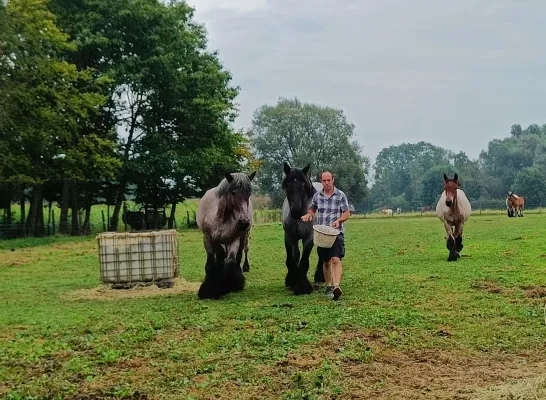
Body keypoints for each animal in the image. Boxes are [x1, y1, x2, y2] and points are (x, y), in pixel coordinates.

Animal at [196, 170, 255, 298]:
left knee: (241, 254)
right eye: (233, 192)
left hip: (243, 238)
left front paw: (232, 285)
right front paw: (208, 290)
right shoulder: (209, 239)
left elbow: (231, 262)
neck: (220, 219)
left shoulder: (234, 239)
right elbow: (212, 263)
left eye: (249, 194)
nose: (244, 222)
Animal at [280, 161, 324, 296]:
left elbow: (304, 262)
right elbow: (292, 258)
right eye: (287, 184)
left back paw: (320, 278)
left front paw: (302, 288)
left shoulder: (309, 238)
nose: (296, 211)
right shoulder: (290, 237)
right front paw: (292, 280)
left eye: (303, 185)